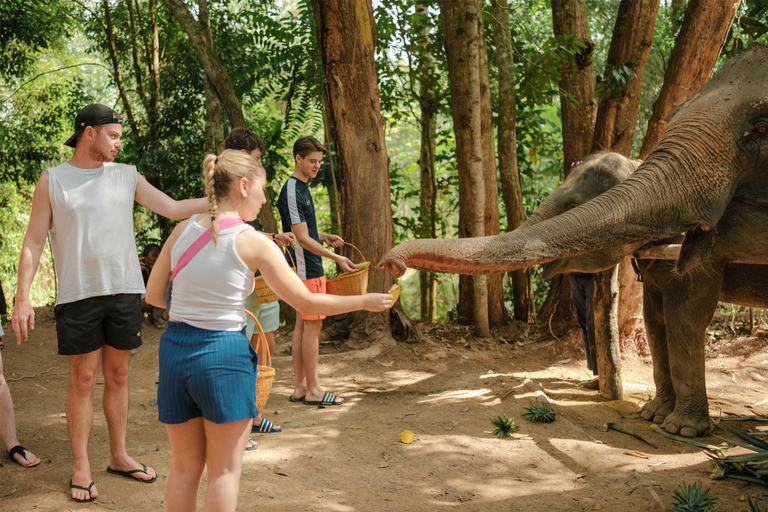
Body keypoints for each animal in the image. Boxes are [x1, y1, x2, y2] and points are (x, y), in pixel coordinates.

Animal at [382, 46, 768, 436]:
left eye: (572, 206)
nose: (391, 263)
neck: (643, 163)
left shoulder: (701, 257)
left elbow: (684, 318)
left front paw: (681, 429)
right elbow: (655, 318)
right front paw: (653, 415)